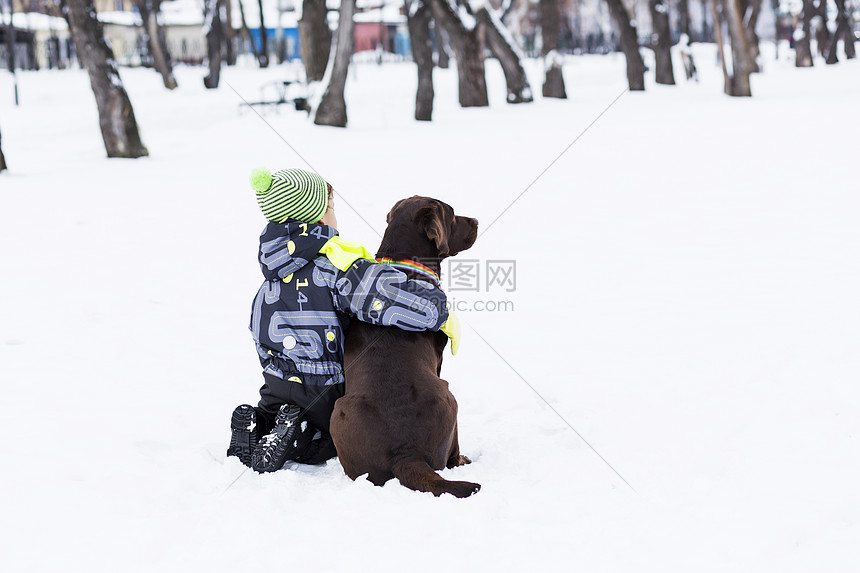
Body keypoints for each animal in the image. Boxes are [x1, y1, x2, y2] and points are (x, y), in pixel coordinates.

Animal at [330, 197, 480, 496]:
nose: (477, 222)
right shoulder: (439, 358)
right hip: (450, 398)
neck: (404, 266)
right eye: (453, 215)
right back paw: (461, 460)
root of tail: (405, 453)